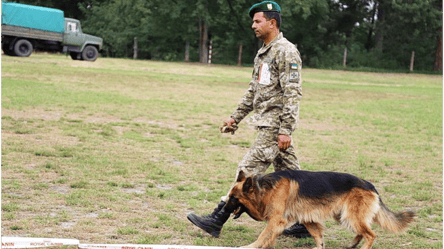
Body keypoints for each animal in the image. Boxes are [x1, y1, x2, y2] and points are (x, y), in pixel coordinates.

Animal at [225, 170, 416, 248]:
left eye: (233, 199)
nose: (224, 209)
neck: (264, 189)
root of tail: (370, 185)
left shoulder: (276, 220)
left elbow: (263, 235)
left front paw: (251, 246)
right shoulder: (307, 218)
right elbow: (318, 236)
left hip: (350, 216)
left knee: (370, 234)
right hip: (343, 215)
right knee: (363, 232)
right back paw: (352, 244)